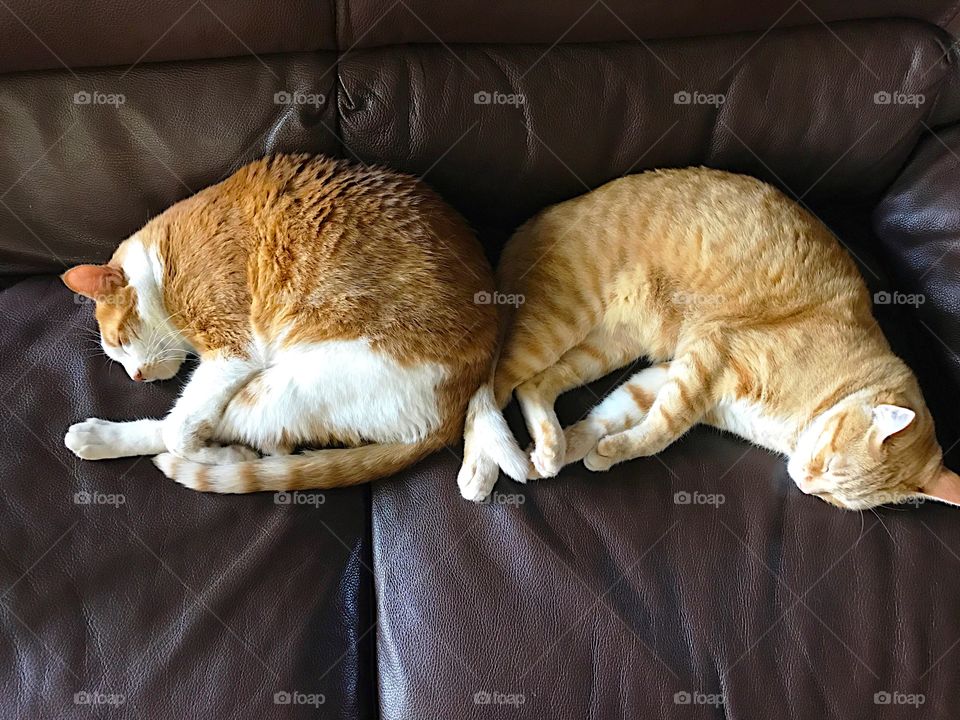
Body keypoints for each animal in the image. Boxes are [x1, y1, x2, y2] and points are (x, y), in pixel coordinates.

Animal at [63, 154, 528, 492]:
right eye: (118, 356)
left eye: (120, 341)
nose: (136, 377)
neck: (161, 263)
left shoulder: (234, 351)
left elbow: (181, 427)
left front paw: (217, 455)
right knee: (272, 443)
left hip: (276, 386)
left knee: (190, 430)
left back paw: (109, 439)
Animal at [458, 166, 960, 510]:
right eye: (827, 464)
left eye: (835, 497)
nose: (804, 483)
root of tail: (528, 223)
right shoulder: (710, 356)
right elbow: (661, 430)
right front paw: (613, 450)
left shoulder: (670, 372)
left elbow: (612, 414)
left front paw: (586, 448)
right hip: (556, 324)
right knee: (487, 391)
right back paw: (481, 468)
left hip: (605, 347)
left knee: (534, 386)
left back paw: (549, 445)